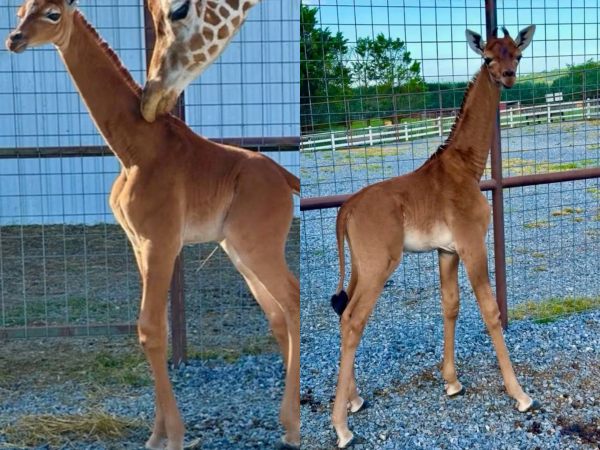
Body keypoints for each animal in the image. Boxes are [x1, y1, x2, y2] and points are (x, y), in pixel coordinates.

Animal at [330, 26, 536, 448]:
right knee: (354, 321)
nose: (508, 76)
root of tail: (347, 209)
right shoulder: (473, 244)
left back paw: (355, 400)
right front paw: (520, 395)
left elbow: (450, 306)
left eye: (518, 54)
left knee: (343, 314)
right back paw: (341, 427)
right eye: (487, 58)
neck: (468, 168)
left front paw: (452, 382)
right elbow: (490, 311)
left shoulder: (447, 250)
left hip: (359, 266)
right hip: (379, 265)